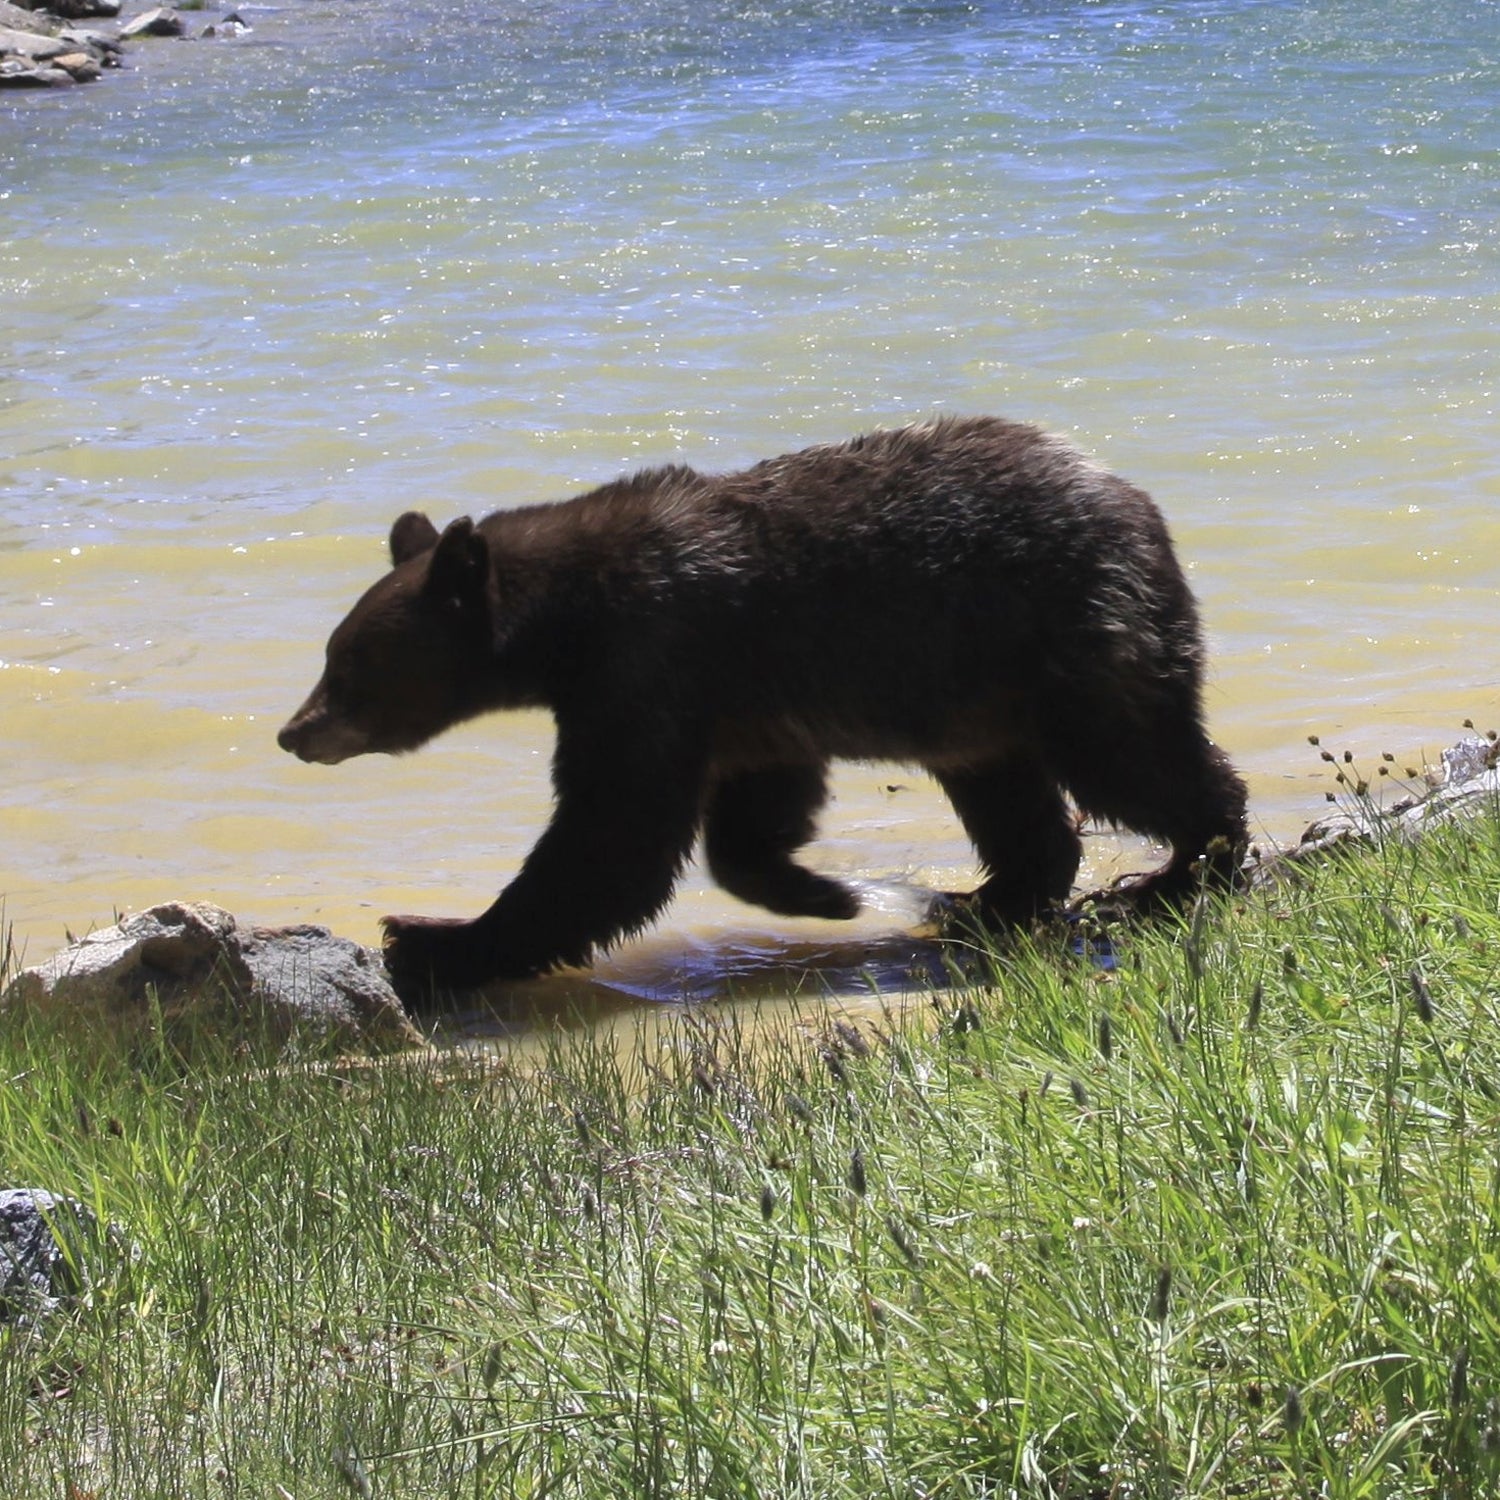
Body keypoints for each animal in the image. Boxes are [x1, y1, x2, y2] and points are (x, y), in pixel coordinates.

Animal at [279, 417, 1242, 996]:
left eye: (349, 663)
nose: (294, 731)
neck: (566, 624)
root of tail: (1139, 503)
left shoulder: (651, 662)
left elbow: (611, 833)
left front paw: (432, 937)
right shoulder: (738, 699)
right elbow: (749, 811)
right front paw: (826, 891)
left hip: (1067, 632)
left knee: (1129, 756)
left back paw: (1182, 869)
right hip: (976, 691)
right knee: (1011, 793)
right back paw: (986, 901)